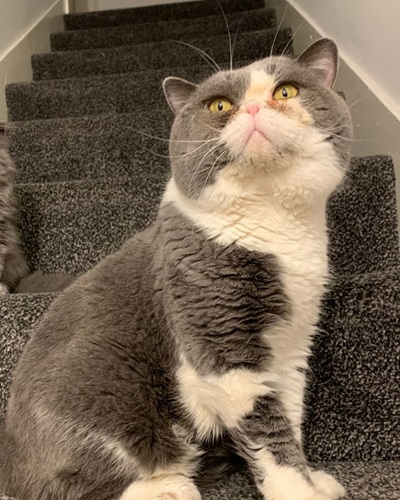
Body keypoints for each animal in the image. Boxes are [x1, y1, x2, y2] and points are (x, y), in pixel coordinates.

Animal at [0, 40, 352, 500]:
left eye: (286, 91)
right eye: (219, 105)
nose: (253, 108)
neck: (276, 223)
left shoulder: (291, 347)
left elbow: (288, 417)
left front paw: (315, 480)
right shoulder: (221, 344)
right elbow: (268, 431)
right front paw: (299, 490)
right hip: (103, 391)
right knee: (70, 487)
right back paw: (170, 487)